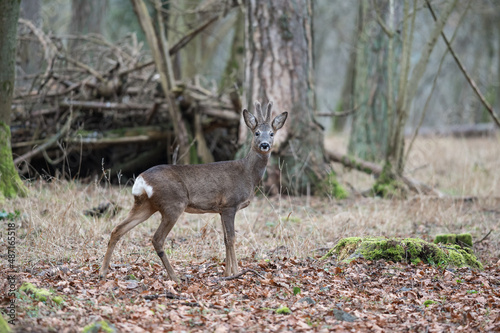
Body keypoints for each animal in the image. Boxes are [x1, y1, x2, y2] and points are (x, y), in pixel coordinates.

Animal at [99, 101, 288, 282]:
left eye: (272, 133)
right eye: (256, 133)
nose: (265, 144)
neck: (247, 174)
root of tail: (141, 180)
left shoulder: (221, 210)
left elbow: (225, 239)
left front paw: (227, 272)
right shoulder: (230, 204)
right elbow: (232, 238)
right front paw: (236, 272)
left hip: (145, 204)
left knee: (117, 230)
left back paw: (103, 272)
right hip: (173, 204)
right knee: (157, 239)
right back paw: (175, 277)